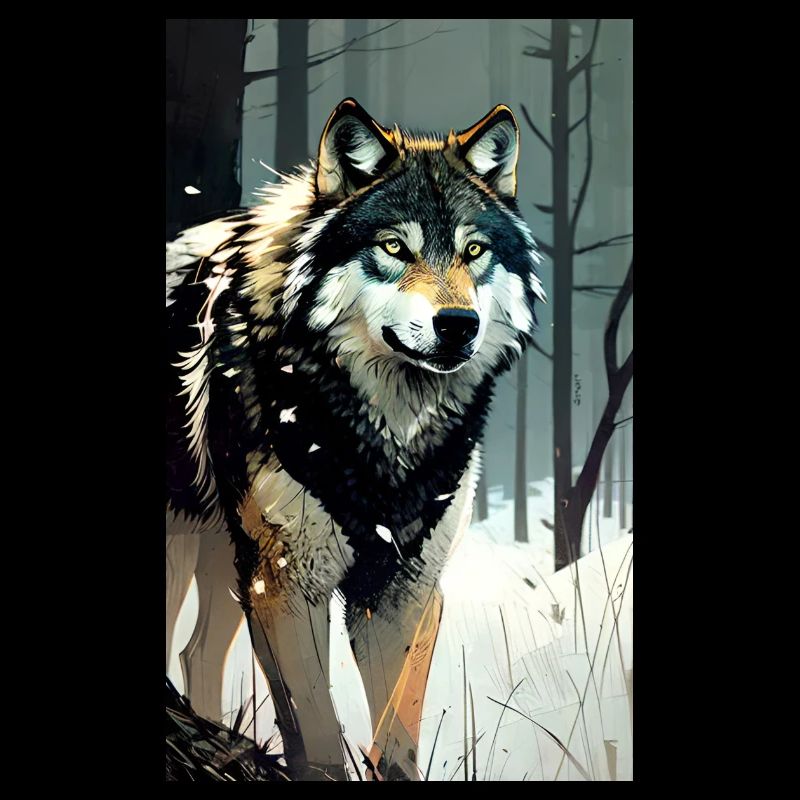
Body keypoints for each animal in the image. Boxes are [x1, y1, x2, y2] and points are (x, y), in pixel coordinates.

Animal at [166, 98, 545, 781]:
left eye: (474, 250)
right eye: (393, 246)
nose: (458, 324)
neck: (386, 439)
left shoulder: (406, 589)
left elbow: (394, 739)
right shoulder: (285, 583)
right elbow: (317, 737)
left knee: (196, 652)